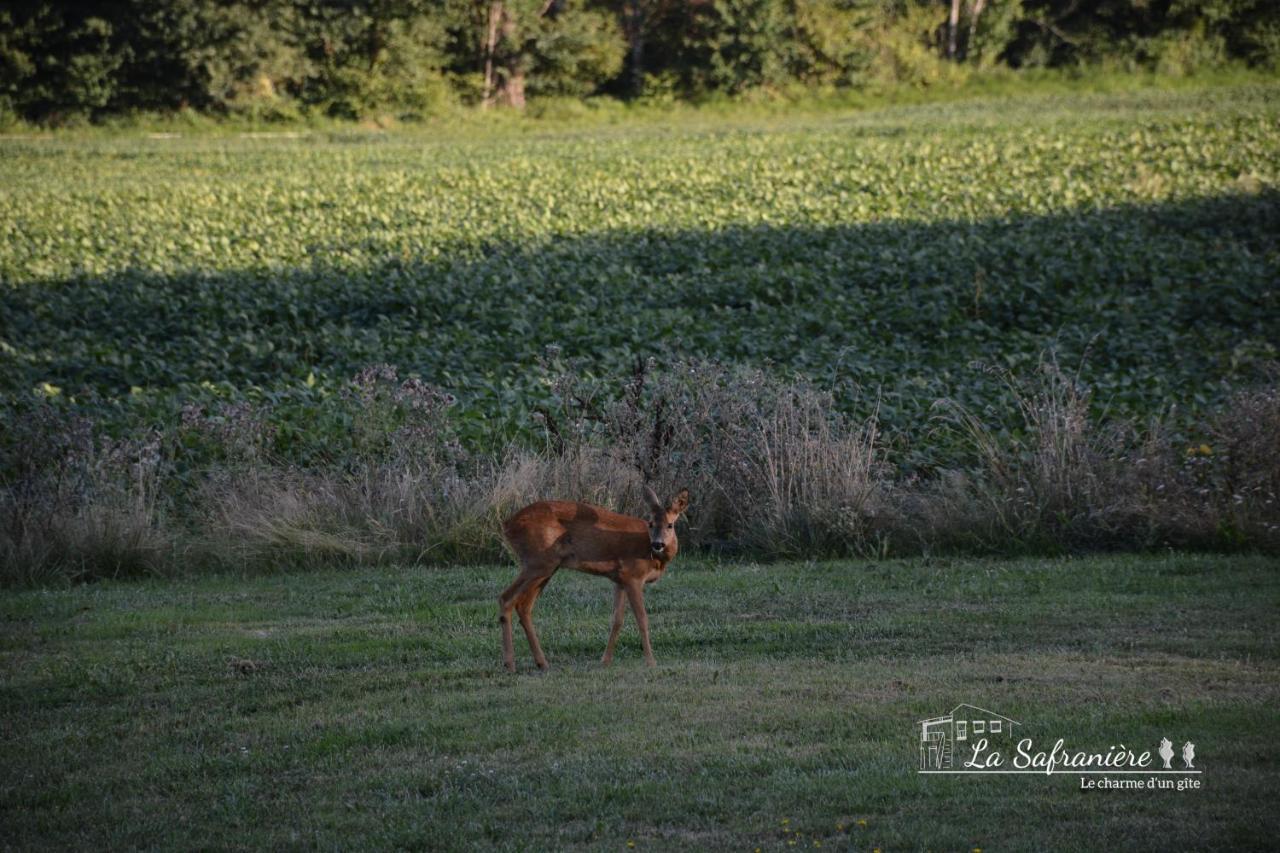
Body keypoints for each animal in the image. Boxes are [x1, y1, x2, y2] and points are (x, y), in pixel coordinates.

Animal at [496, 484, 691, 671]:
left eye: (670, 525)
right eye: (650, 523)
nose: (658, 544)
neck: (651, 554)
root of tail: (508, 525)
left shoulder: (620, 579)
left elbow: (617, 619)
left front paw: (605, 660)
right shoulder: (633, 575)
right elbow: (641, 618)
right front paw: (651, 662)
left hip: (546, 567)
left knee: (523, 606)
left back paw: (541, 663)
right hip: (538, 562)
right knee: (506, 598)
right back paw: (510, 664)